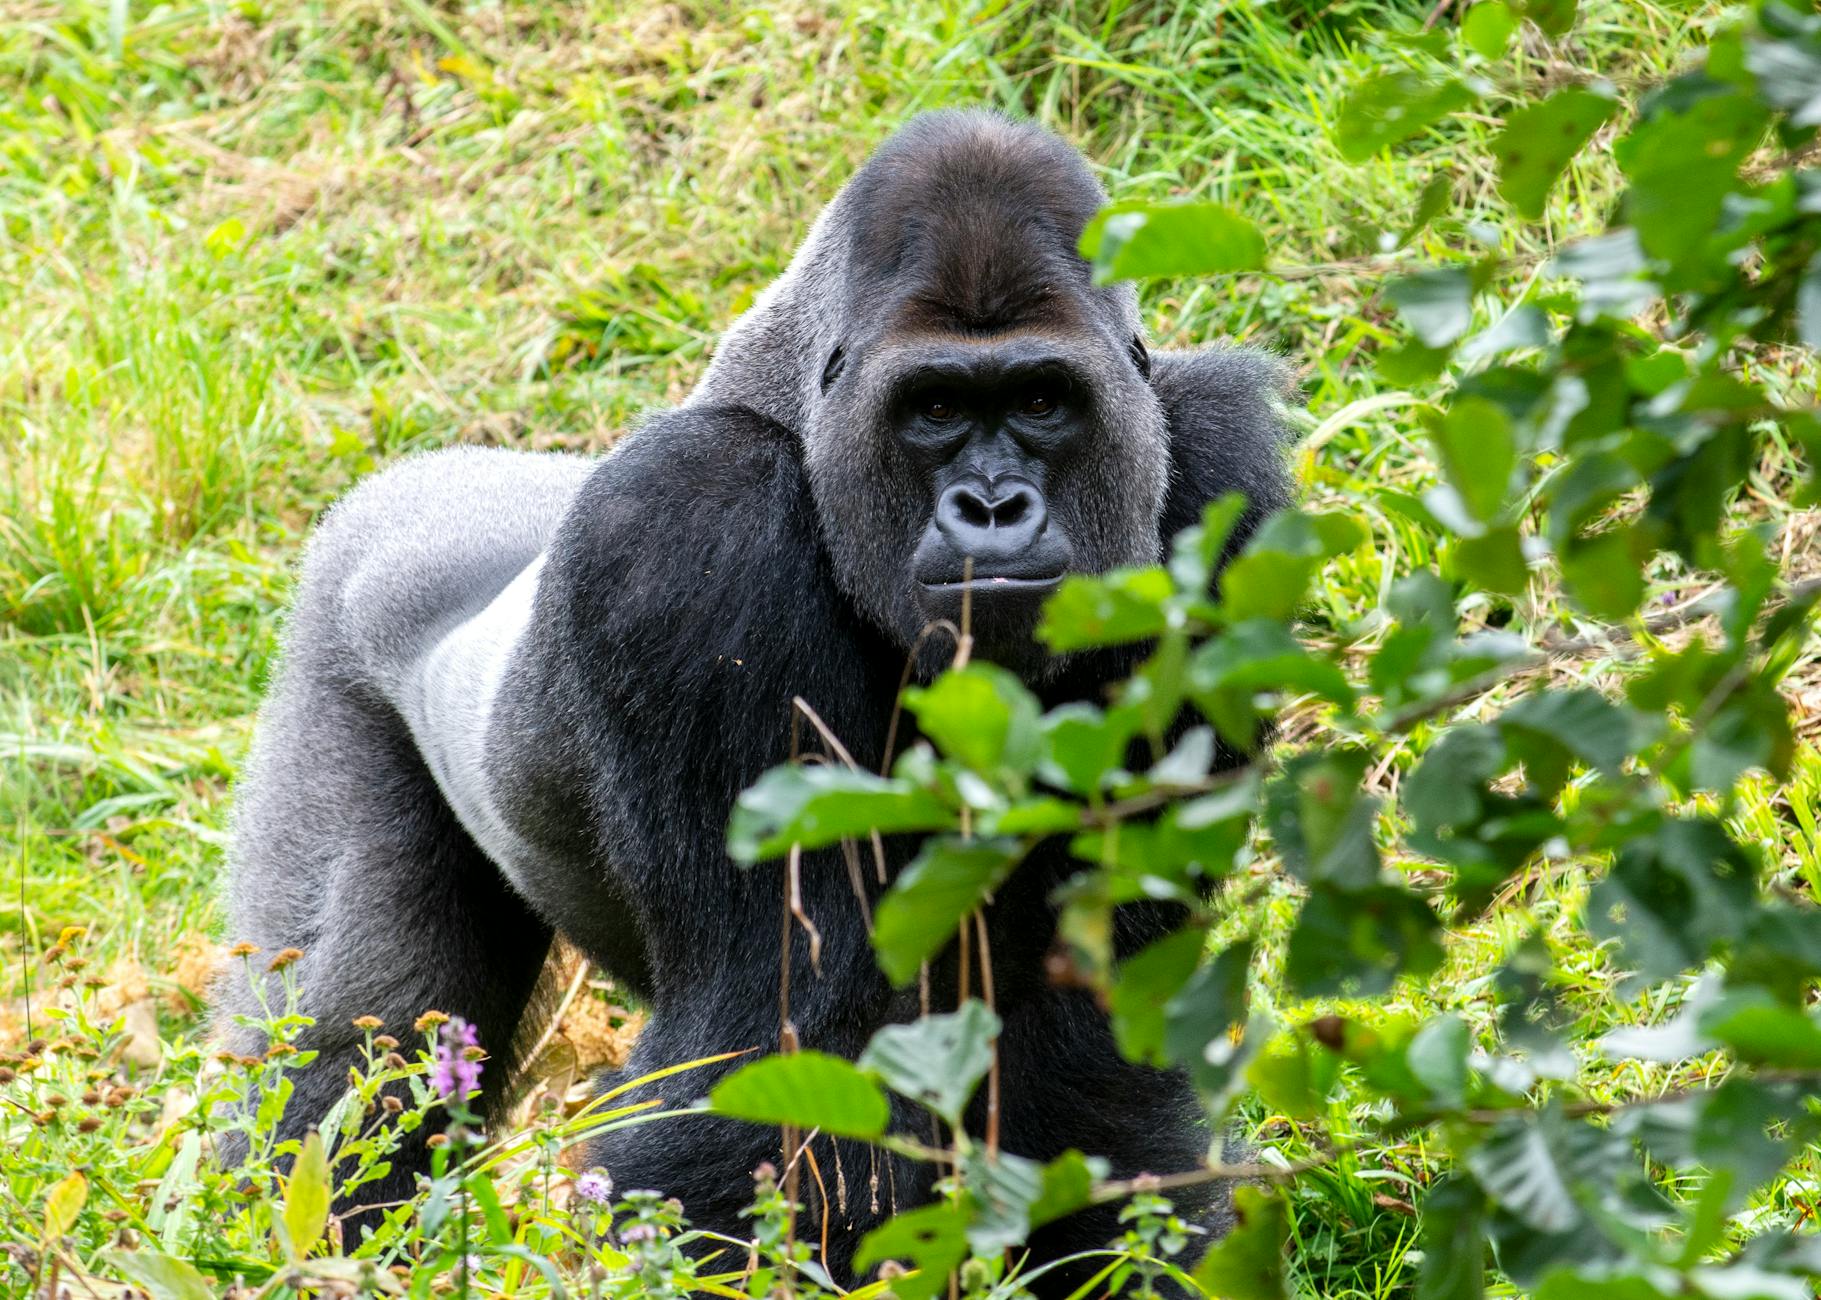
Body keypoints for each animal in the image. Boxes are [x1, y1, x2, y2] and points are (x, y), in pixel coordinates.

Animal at [216, 108, 1296, 1274]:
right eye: (935, 407)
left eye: (1044, 400)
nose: (992, 505)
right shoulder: (691, 520)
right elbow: (775, 1045)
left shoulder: (1218, 483)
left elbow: (1092, 1028)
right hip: (335, 629)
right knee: (348, 1044)